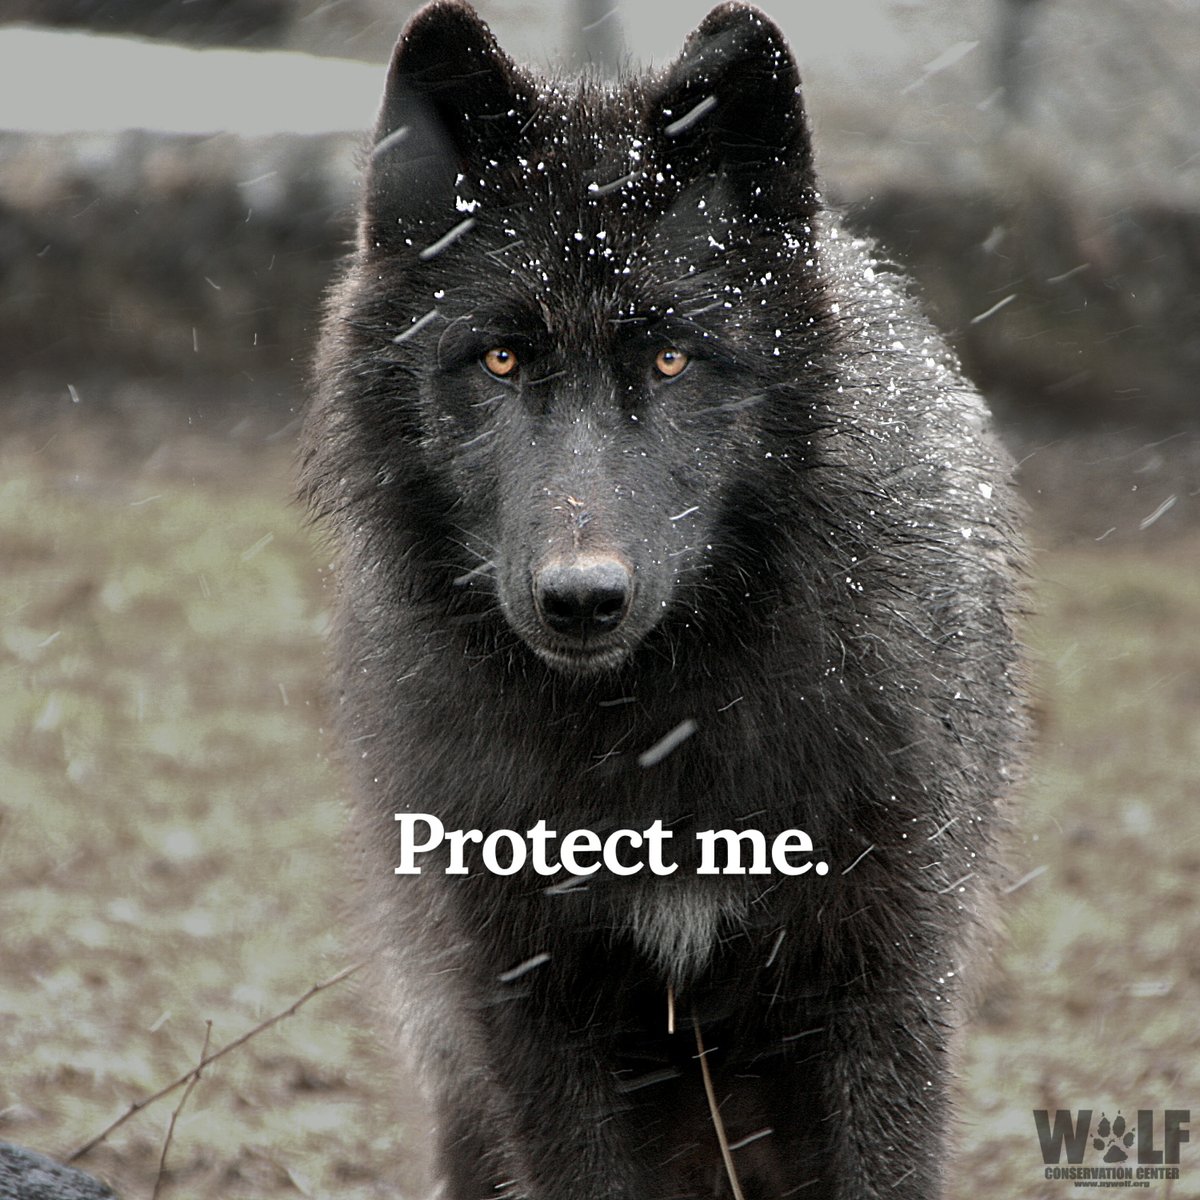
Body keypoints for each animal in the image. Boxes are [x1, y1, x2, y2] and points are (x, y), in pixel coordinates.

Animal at [301, 2, 1027, 1197]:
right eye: (501, 359)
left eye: (675, 360)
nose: (581, 599)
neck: (653, 734)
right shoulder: (533, 1014)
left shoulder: (879, 986)